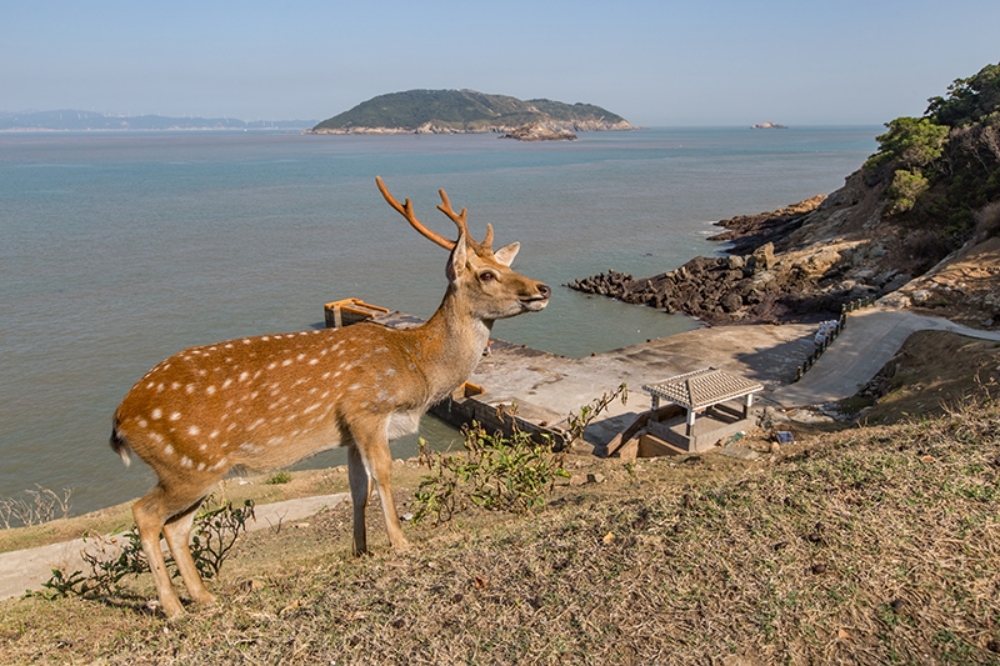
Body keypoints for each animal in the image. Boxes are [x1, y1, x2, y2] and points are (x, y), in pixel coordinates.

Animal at [113, 175, 552, 612]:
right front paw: (400, 542)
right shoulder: (367, 408)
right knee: (145, 514)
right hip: (187, 464)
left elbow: (358, 488)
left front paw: (361, 550)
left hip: (197, 471)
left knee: (176, 526)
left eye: (505, 265)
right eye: (487, 275)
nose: (543, 287)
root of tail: (119, 421)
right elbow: (383, 474)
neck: (416, 366)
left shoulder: (349, 433)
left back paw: (203, 597)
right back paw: (173, 609)